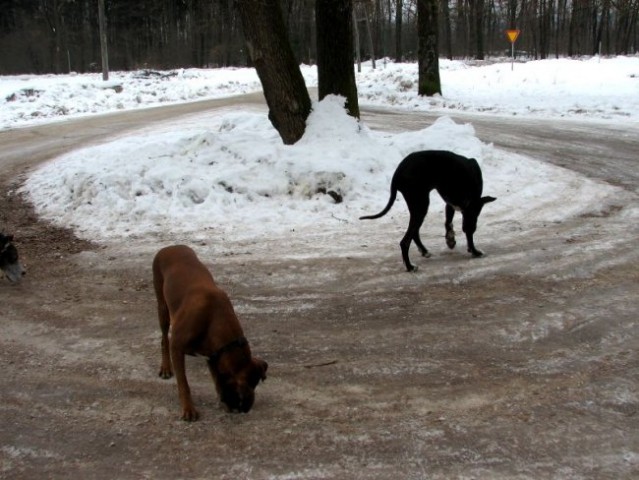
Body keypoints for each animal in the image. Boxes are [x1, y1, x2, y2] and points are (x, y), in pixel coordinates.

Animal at [152, 246, 268, 422]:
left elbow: (216, 379)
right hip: (162, 306)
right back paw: (166, 368)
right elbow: (184, 384)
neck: (213, 317)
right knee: (164, 339)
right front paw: (188, 409)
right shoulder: (177, 347)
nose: (244, 410)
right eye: (241, 392)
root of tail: (170, 247)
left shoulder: (213, 354)